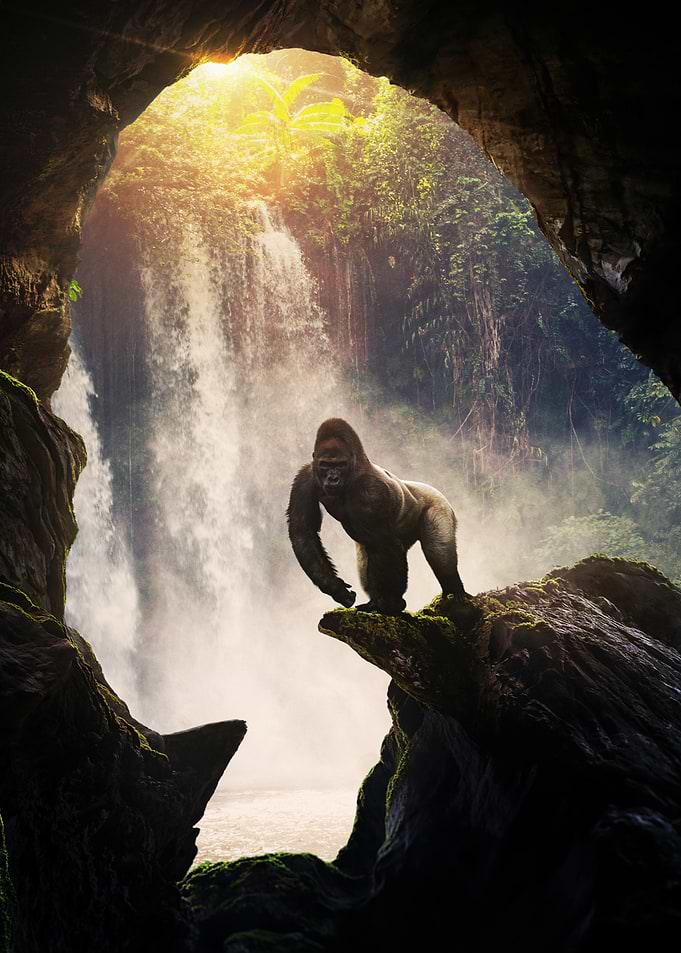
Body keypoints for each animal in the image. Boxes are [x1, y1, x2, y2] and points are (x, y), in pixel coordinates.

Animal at [286, 417, 467, 614]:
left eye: (340, 465)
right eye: (325, 465)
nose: (333, 478)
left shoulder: (370, 490)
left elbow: (385, 543)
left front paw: (391, 603)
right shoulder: (306, 476)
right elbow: (303, 531)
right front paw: (336, 588)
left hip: (439, 504)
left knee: (437, 551)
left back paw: (454, 589)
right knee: (366, 555)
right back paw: (374, 600)